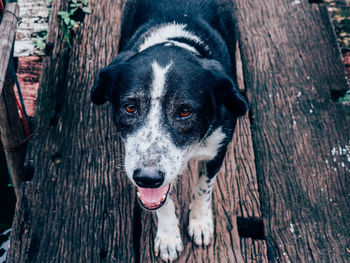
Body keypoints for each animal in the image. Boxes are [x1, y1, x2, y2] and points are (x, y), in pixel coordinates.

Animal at [91, 0, 247, 262]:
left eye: (185, 111)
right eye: (130, 107)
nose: (147, 177)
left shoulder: (217, 149)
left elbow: (203, 187)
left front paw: (200, 222)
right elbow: (163, 203)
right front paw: (168, 237)